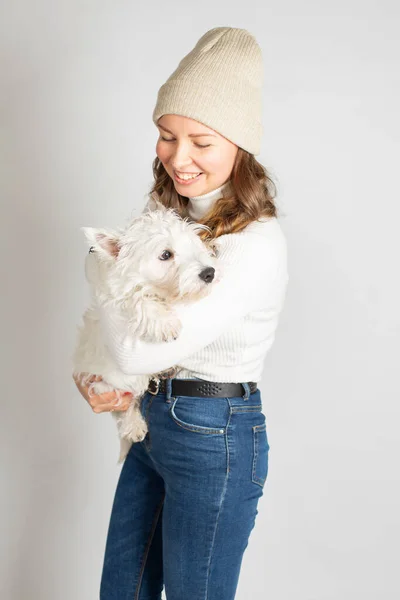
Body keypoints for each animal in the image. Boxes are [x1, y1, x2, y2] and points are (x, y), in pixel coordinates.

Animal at [73, 202, 220, 464]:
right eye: (165, 255)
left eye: (191, 245)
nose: (209, 273)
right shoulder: (117, 296)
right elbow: (137, 296)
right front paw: (163, 322)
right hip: (109, 380)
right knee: (123, 404)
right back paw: (134, 426)